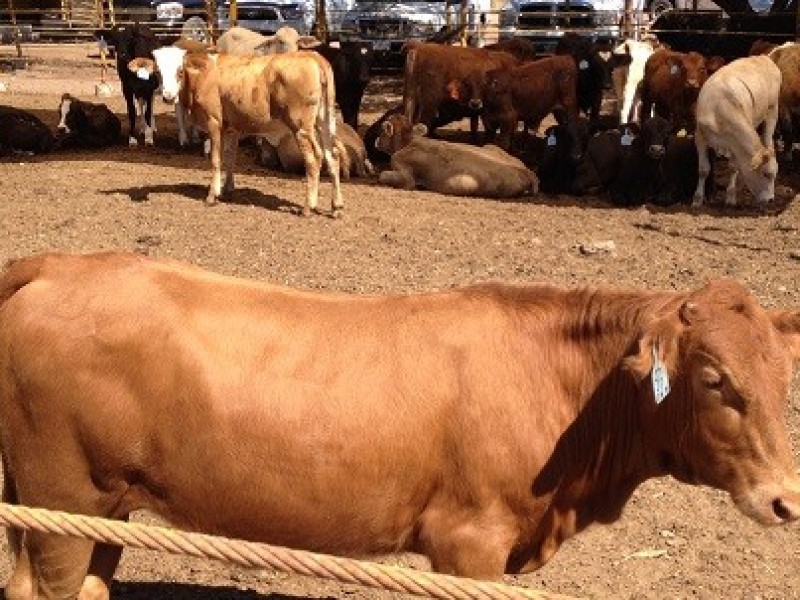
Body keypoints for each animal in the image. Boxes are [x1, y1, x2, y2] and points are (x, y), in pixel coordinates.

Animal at [1, 250, 800, 600]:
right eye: (714, 381)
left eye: (784, 379)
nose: (784, 499)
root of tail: (62, 263)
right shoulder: (468, 542)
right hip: (61, 499)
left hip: (101, 506)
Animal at [153, 47, 344, 217]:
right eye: (159, 72)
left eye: (180, 70)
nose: (168, 96)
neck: (203, 75)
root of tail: (313, 56)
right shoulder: (231, 128)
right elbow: (230, 158)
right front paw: (227, 189)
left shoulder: (213, 122)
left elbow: (216, 159)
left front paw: (212, 195)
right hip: (325, 121)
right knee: (332, 156)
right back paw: (336, 207)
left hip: (301, 127)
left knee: (314, 159)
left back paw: (308, 207)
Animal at [374, 112, 536, 197]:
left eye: (382, 130)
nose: (376, 140)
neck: (409, 142)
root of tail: (526, 171)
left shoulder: (405, 173)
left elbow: (384, 175)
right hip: (491, 146)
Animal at [692, 56, 780, 206]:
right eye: (766, 174)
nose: (770, 200)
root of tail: (764, 57)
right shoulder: (700, 137)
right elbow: (703, 170)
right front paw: (697, 200)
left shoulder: (735, 143)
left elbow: (733, 168)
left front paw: (731, 197)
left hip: (772, 111)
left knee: (768, 139)